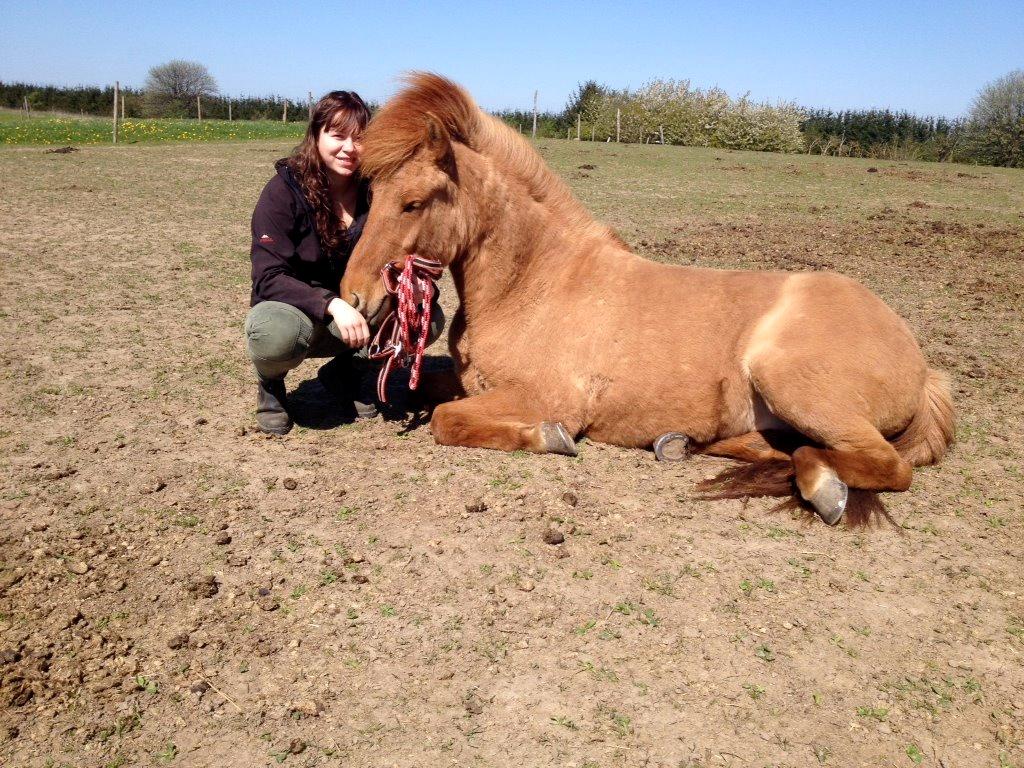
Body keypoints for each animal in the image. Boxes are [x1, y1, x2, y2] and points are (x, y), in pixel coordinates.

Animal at [339, 72, 954, 528]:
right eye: (371, 194)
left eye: (414, 202)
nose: (355, 299)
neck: (536, 286)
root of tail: (924, 370)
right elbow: (436, 397)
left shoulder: (545, 396)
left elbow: (448, 421)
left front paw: (549, 438)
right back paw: (685, 445)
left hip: (790, 380)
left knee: (880, 464)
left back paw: (824, 486)